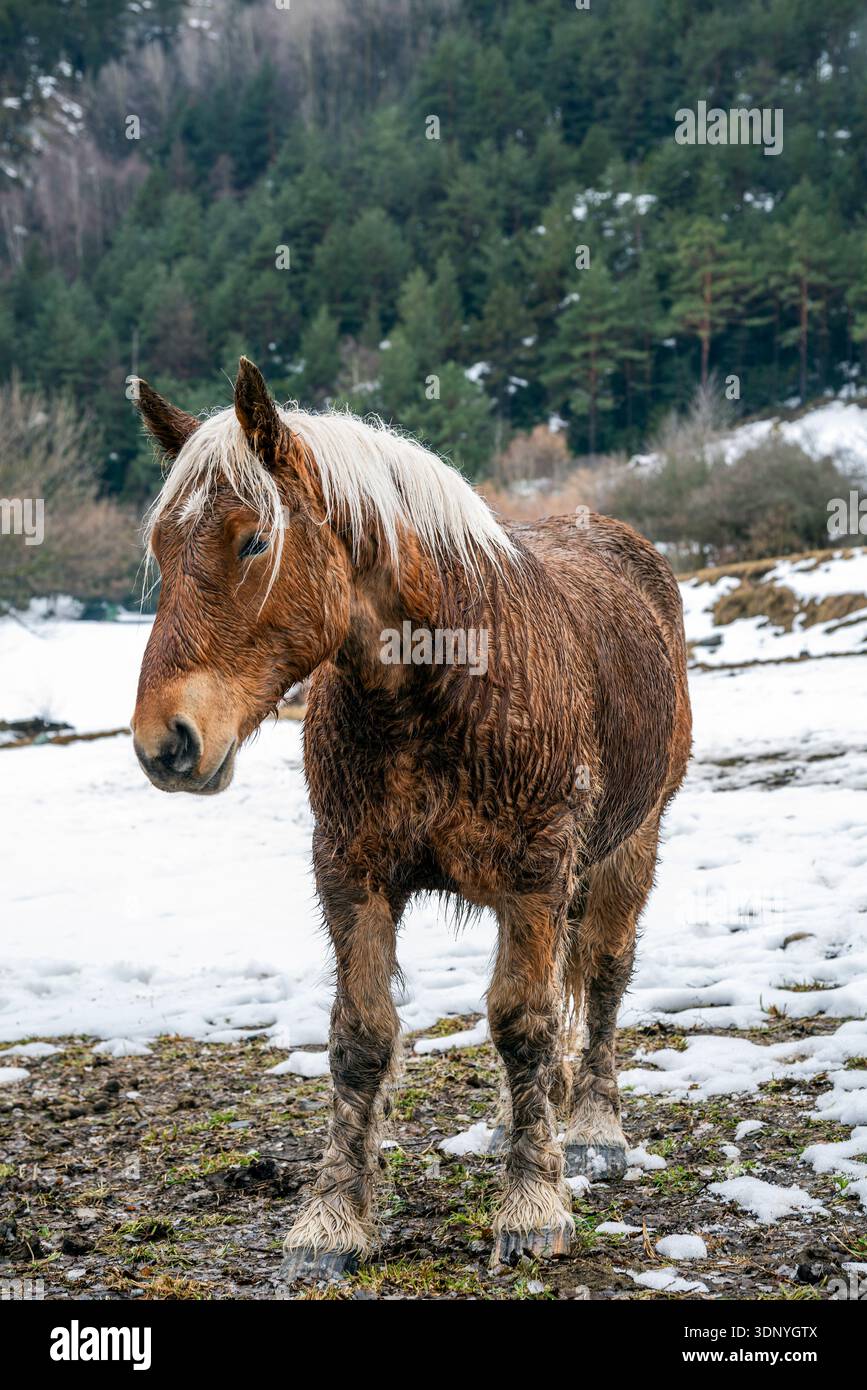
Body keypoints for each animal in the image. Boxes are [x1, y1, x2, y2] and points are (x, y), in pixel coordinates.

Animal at [131, 357, 692, 1280]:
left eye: (253, 541)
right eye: (161, 551)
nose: (163, 743)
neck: (440, 685)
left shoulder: (537, 872)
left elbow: (526, 1023)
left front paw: (532, 1206)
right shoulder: (351, 872)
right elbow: (361, 1038)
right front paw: (331, 1221)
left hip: (627, 848)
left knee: (602, 976)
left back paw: (591, 1130)